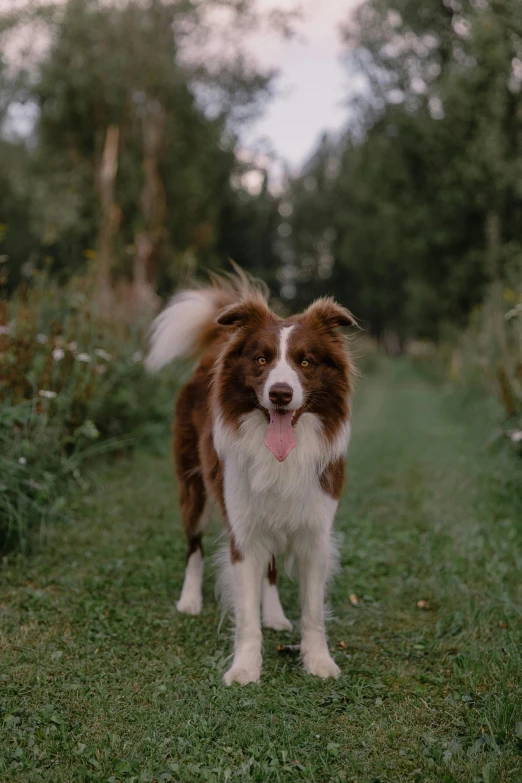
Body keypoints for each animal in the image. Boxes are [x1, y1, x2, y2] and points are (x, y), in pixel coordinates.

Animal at [147, 274, 358, 688]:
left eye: (305, 361)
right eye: (261, 360)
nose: (280, 394)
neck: (282, 455)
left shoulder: (315, 530)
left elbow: (312, 611)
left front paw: (318, 661)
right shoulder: (242, 529)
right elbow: (245, 615)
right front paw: (244, 668)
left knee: (272, 568)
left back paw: (274, 614)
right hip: (193, 488)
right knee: (193, 546)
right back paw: (190, 600)